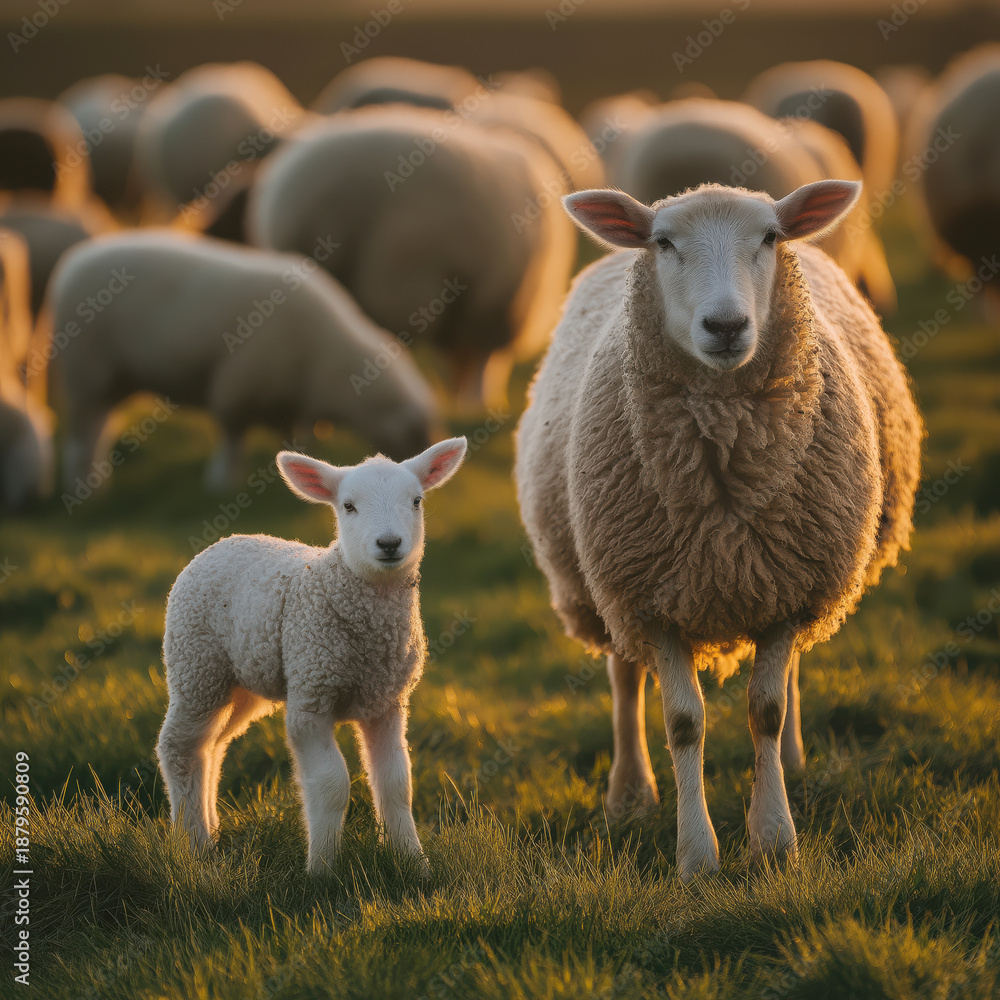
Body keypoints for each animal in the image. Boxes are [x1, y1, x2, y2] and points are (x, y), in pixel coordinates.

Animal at [46, 230, 440, 490]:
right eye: (412, 431)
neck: (327, 364)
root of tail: (73, 262)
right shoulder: (236, 391)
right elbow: (233, 440)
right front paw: (221, 482)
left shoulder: (289, 400)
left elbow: (295, 435)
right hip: (85, 372)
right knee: (82, 435)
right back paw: (83, 486)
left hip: (111, 379)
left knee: (99, 428)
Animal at [157, 436, 467, 871]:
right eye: (348, 505)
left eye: (417, 500)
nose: (389, 544)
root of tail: (224, 542)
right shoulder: (311, 699)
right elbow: (332, 785)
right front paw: (322, 868)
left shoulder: (387, 703)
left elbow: (396, 785)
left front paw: (412, 862)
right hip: (196, 663)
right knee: (179, 747)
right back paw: (194, 843)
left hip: (241, 683)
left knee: (211, 747)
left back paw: (210, 828)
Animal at [515, 180, 922, 881]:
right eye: (664, 243)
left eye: (769, 237)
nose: (727, 326)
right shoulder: (650, 599)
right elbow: (683, 721)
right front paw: (698, 856)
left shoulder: (791, 585)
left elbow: (767, 709)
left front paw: (774, 838)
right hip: (601, 584)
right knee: (625, 679)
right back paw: (630, 795)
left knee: (785, 676)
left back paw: (792, 766)